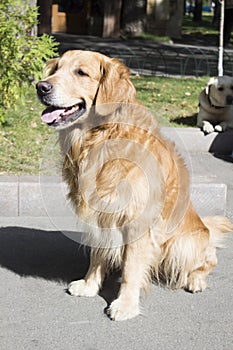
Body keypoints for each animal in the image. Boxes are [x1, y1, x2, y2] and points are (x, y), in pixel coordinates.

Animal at [36, 50, 233, 322]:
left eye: (81, 73)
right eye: (56, 69)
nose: (40, 87)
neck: (102, 137)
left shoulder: (138, 222)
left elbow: (131, 270)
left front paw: (126, 305)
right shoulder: (102, 213)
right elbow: (97, 255)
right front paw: (89, 285)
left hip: (184, 244)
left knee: (208, 261)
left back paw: (196, 280)